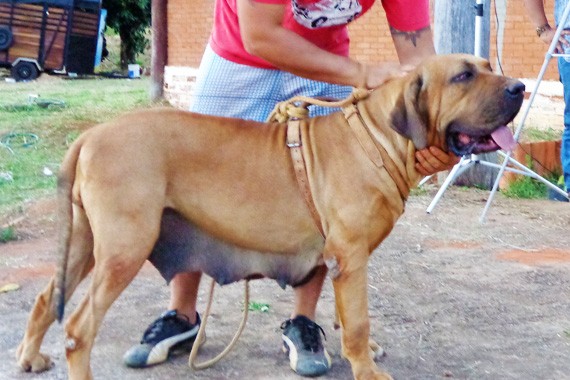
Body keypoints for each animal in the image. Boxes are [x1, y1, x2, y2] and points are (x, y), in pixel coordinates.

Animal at [16, 54, 524, 380]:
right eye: (463, 75)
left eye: (488, 66)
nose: (519, 86)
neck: (379, 138)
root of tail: (89, 136)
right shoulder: (351, 257)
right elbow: (358, 322)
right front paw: (367, 368)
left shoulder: (342, 260)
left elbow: (348, 316)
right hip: (124, 248)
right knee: (78, 330)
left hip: (86, 245)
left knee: (45, 300)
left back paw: (29, 358)